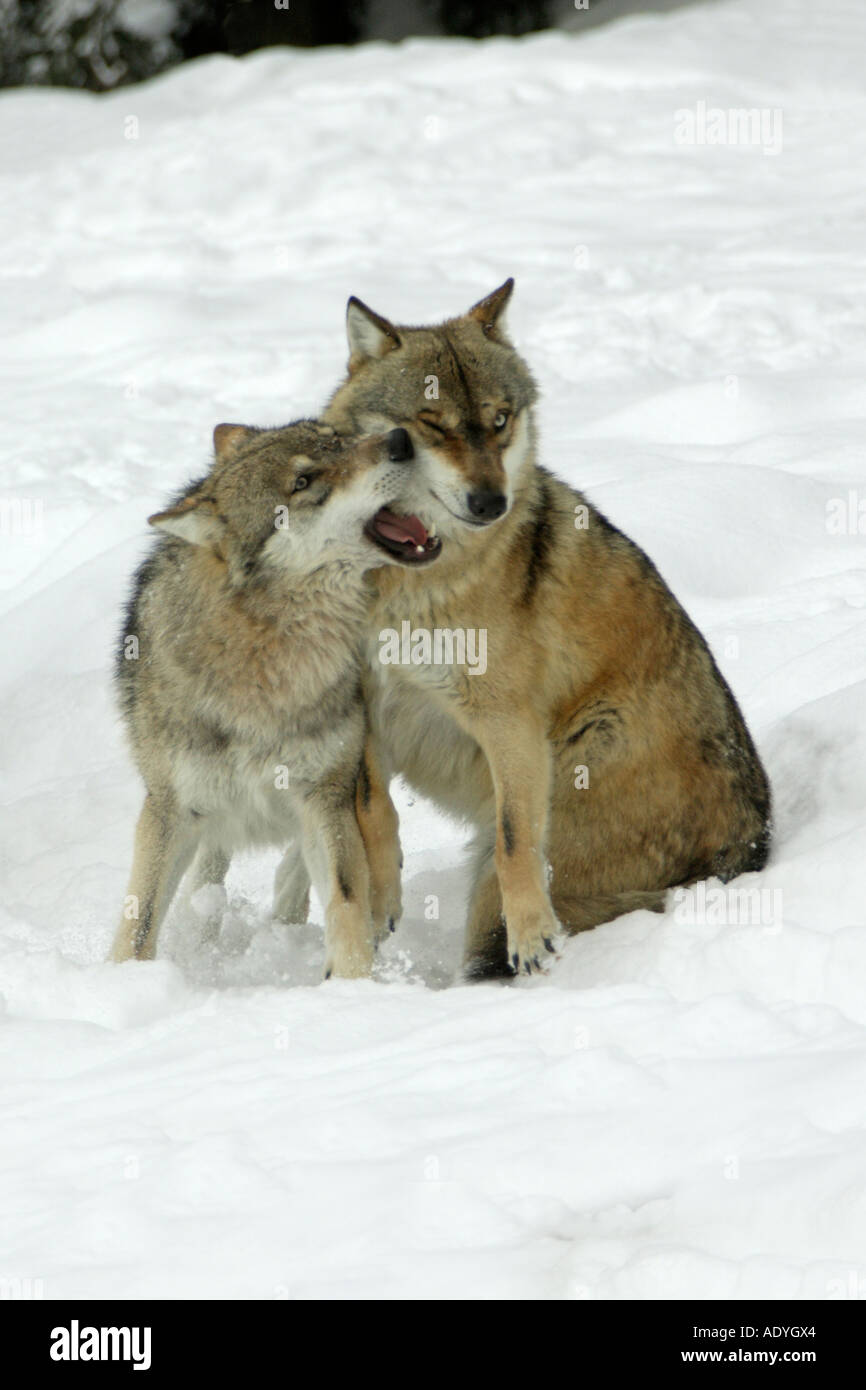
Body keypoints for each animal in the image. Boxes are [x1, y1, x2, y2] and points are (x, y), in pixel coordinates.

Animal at [109, 419, 436, 978]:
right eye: (303, 482)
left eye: (338, 436)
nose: (399, 439)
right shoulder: (171, 807)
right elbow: (140, 919)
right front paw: (124, 982)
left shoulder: (324, 793)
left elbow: (347, 896)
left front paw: (353, 985)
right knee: (210, 871)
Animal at [284, 279, 772, 978]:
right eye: (430, 425)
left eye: (499, 421)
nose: (491, 503)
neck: (413, 582)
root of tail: (756, 843)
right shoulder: (368, 705)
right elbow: (374, 812)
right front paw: (381, 905)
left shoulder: (507, 724)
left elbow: (517, 840)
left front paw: (535, 935)